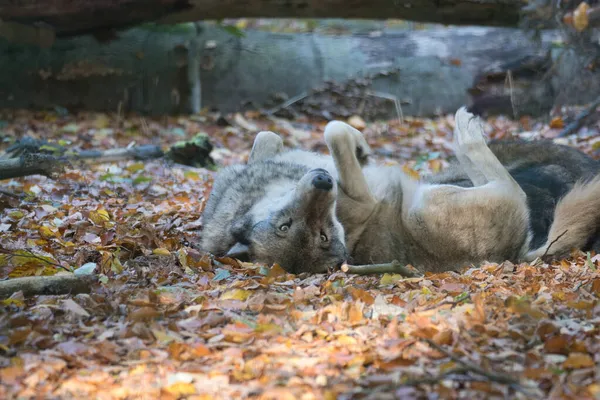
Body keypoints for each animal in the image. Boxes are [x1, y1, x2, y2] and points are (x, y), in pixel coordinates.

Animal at [202, 108, 600, 274]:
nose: (323, 182)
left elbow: (269, 134)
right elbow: (334, 130)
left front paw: (362, 147)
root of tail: (517, 255)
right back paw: (466, 128)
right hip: (430, 204)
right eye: (322, 236)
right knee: (508, 183)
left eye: (285, 224)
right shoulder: (362, 198)